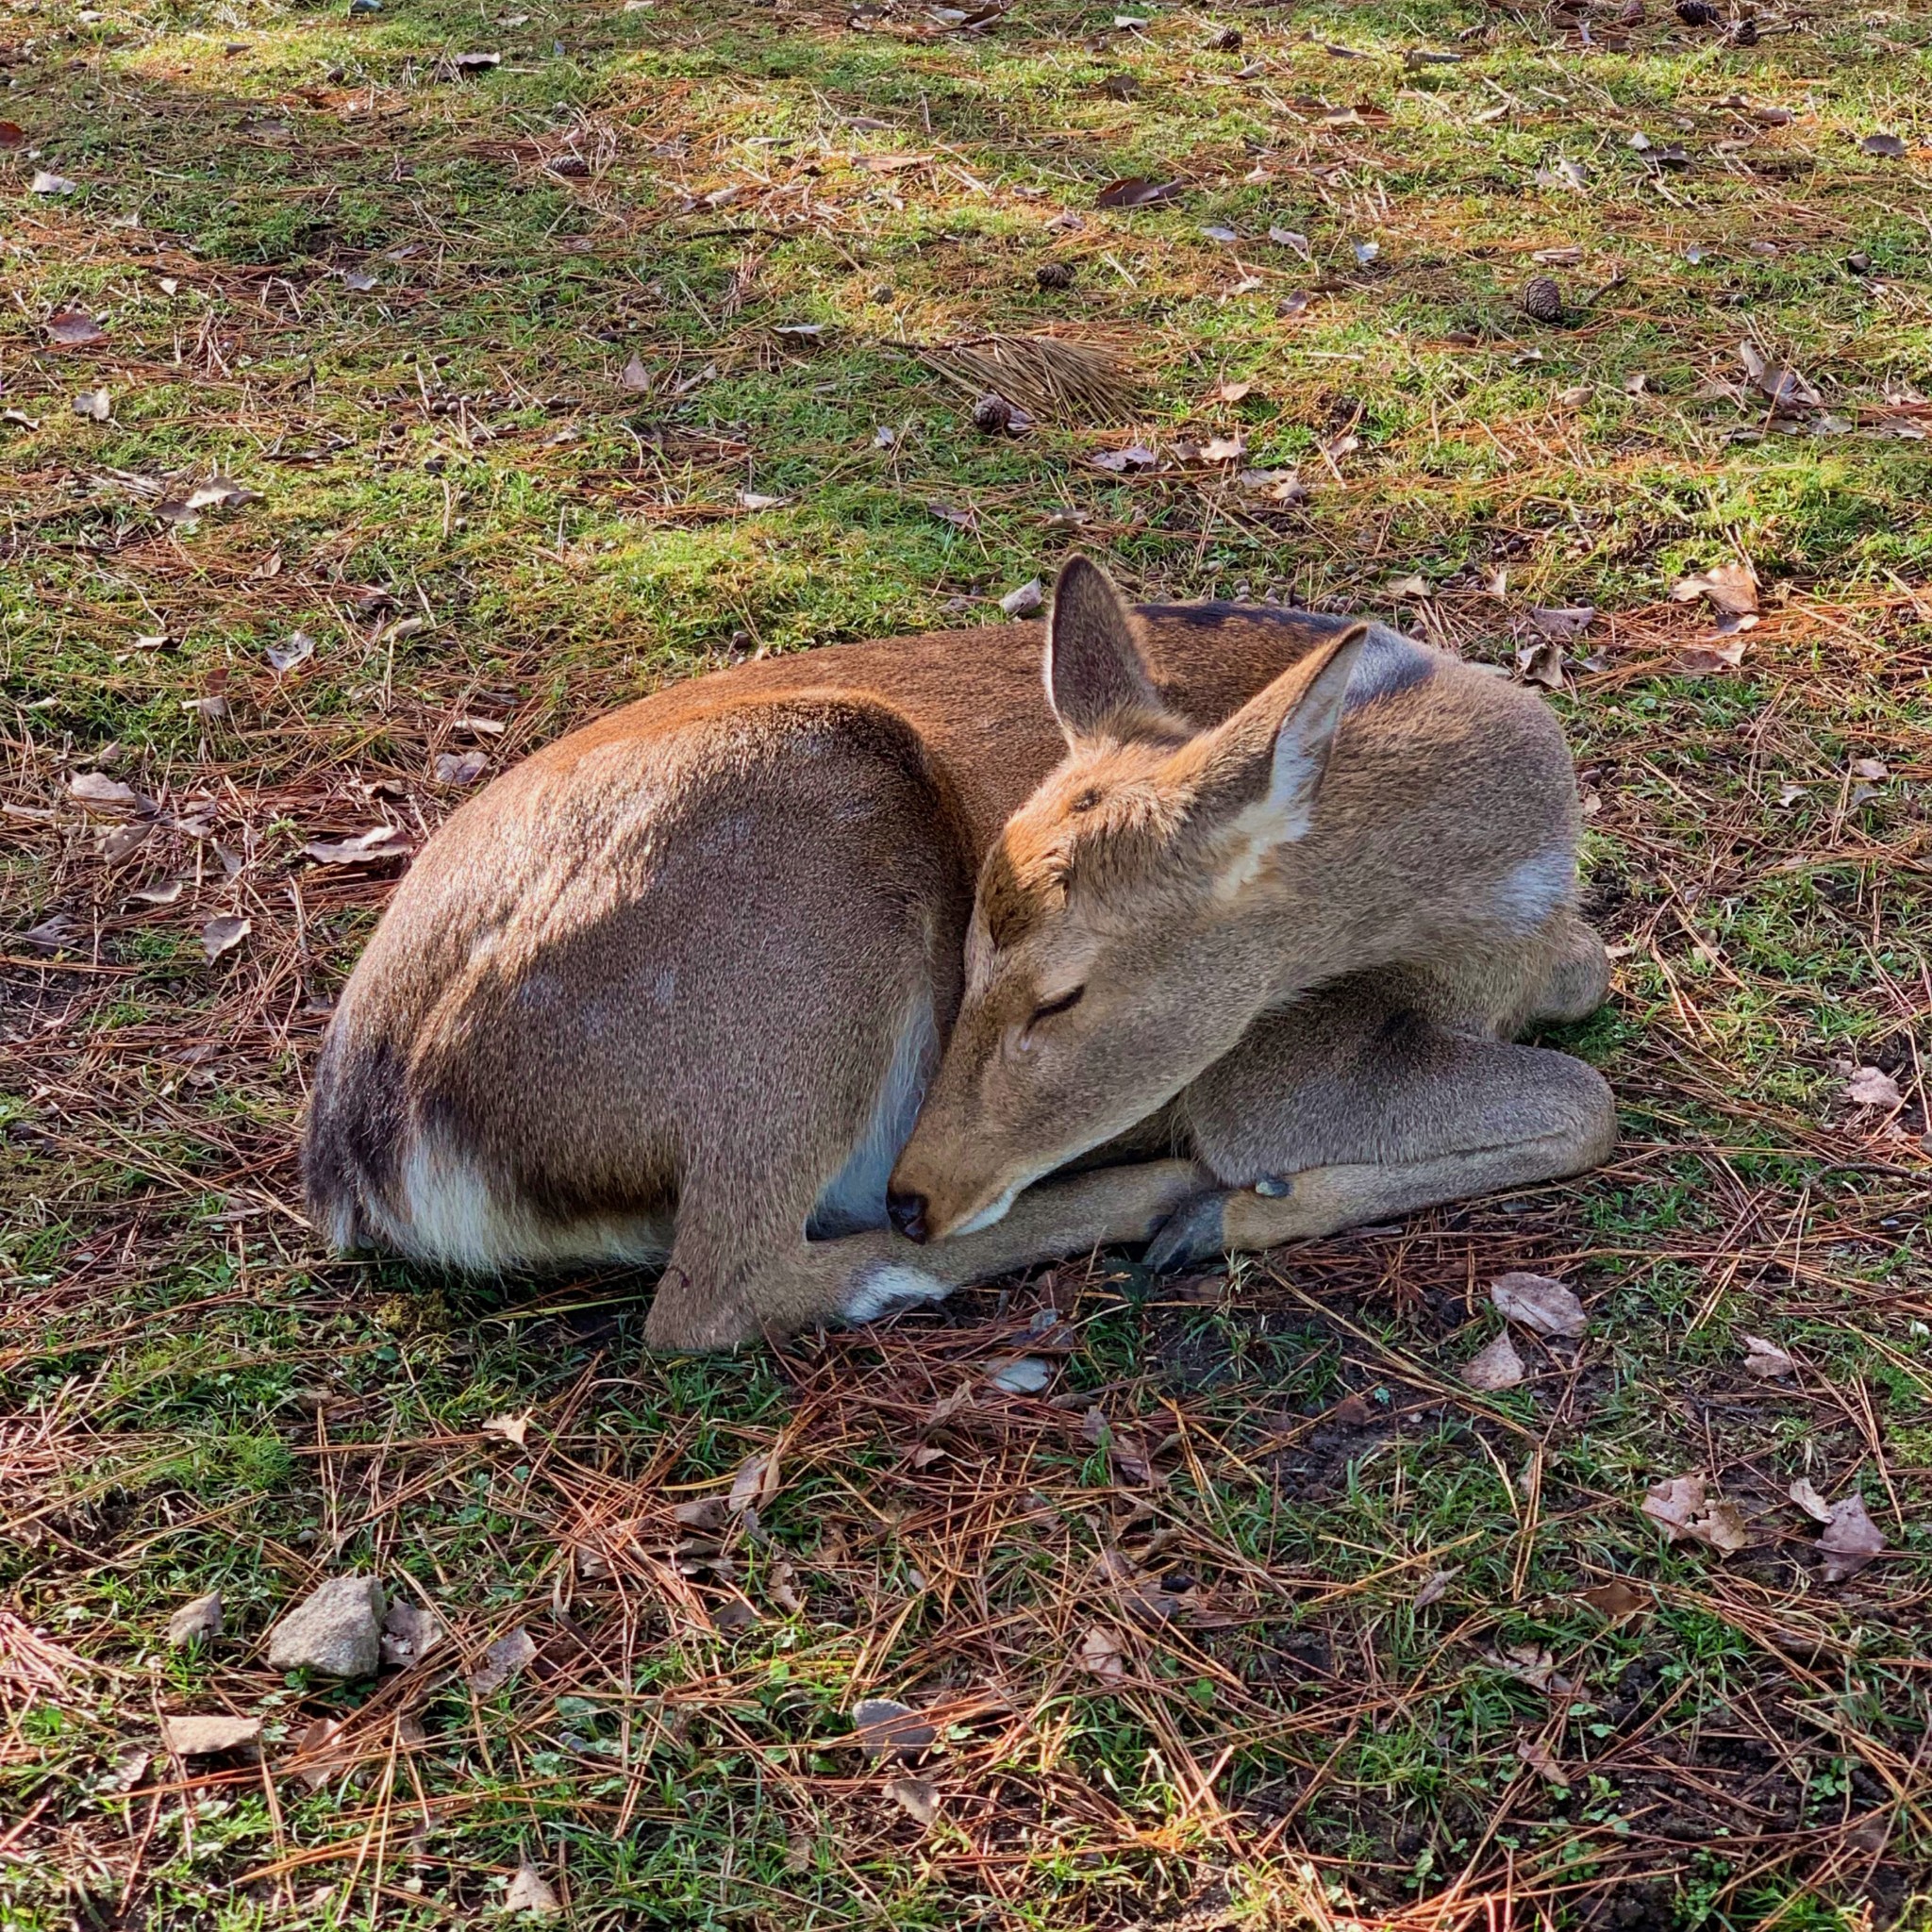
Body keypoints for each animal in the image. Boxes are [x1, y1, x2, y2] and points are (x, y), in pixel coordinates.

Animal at [308, 552, 1615, 1352]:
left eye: (1059, 995)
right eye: (973, 962)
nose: (915, 1187)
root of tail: (367, 1165)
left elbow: (1590, 983)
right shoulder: (1266, 1063)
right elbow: (1585, 1103)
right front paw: (1238, 1203)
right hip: (801, 905)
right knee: (718, 1289)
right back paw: (1162, 1201)